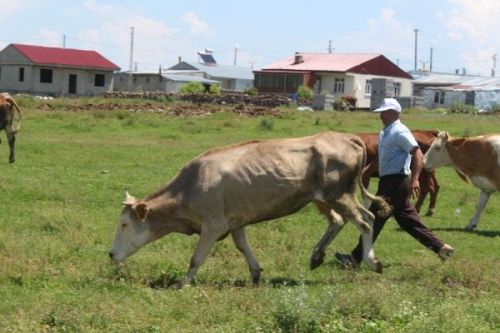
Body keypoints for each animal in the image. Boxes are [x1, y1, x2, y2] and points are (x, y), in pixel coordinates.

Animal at [108, 130, 390, 286]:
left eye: (124, 224)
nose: (111, 254)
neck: (188, 188)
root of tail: (346, 137)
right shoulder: (236, 222)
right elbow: (242, 246)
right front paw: (255, 273)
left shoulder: (213, 225)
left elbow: (196, 258)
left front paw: (182, 284)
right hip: (322, 198)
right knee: (337, 221)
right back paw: (317, 255)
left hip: (340, 194)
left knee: (365, 219)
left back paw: (372, 261)